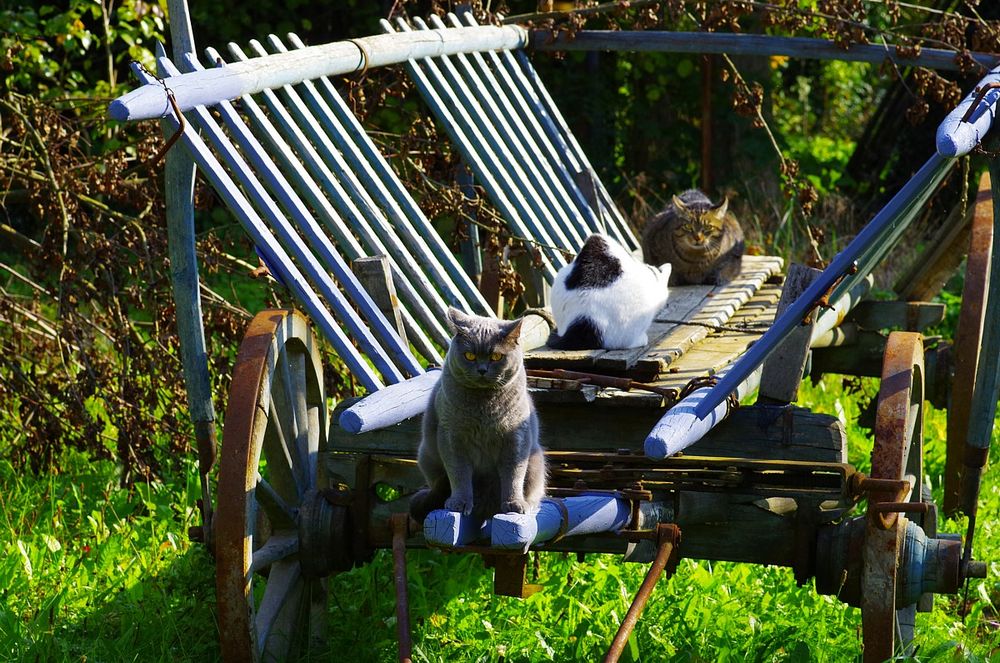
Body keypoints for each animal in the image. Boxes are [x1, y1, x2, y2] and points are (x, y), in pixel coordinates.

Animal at [408, 308, 548, 524]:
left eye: (497, 356)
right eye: (470, 355)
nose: (482, 370)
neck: (484, 408)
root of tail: (485, 510)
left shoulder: (517, 437)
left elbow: (514, 472)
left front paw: (514, 504)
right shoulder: (451, 435)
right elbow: (459, 472)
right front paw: (459, 503)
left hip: (536, 461)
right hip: (426, 455)